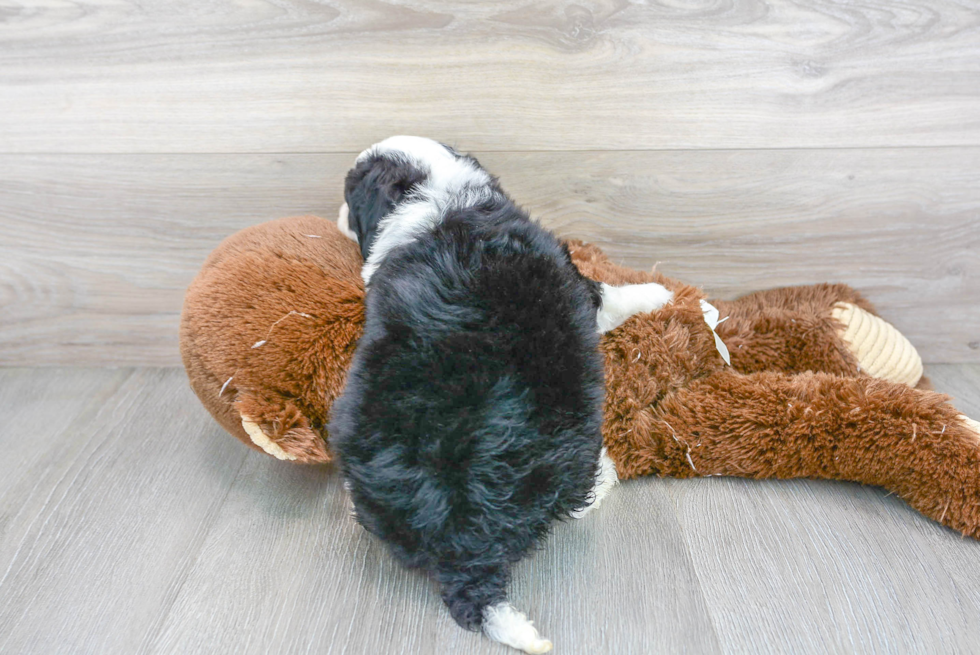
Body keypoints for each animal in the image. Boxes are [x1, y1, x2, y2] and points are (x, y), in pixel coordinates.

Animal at [330, 136, 672, 652]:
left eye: (351, 199)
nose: (335, 212)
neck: (438, 192)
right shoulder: (580, 287)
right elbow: (613, 295)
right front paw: (660, 294)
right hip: (570, 437)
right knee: (577, 496)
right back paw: (606, 478)